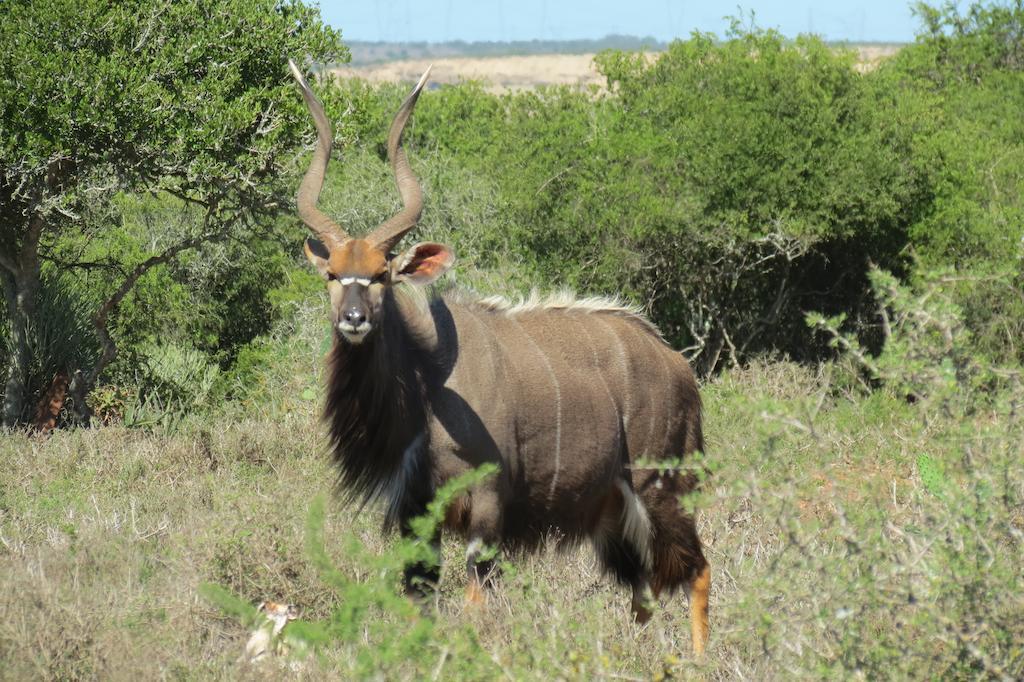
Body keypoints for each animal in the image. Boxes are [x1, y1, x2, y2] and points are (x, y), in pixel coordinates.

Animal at [284, 59, 708, 655]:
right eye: (332, 275)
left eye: (382, 274)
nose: (354, 319)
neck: (427, 388)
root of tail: (679, 366)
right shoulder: (417, 516)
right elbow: (421, 602)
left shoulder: (486, 509)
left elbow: (476, 605)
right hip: (615, 516)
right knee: (644, 591)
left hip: (661, 485)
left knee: (696, 569)